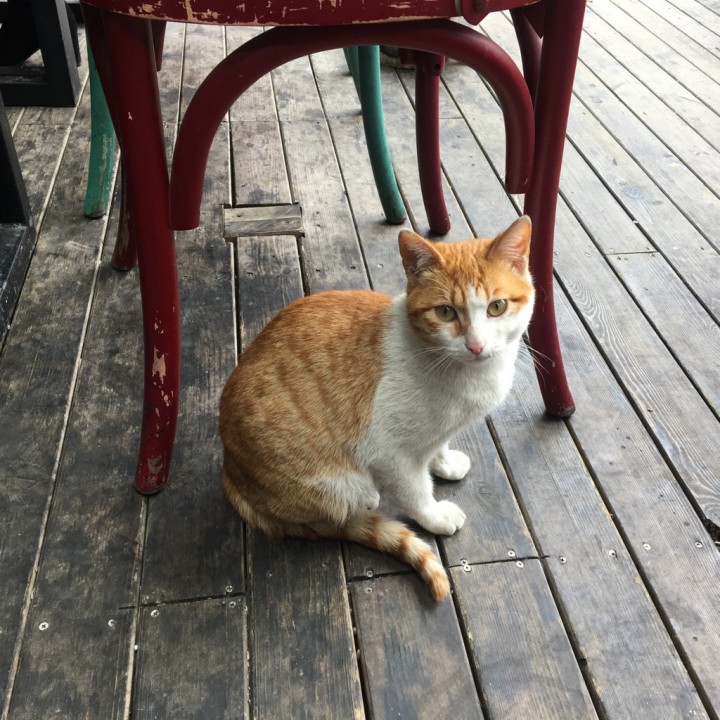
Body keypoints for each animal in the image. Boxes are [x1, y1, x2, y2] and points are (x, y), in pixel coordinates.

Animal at [220, 215, 534, 600]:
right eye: (445, 312)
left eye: (496, 307)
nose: (476, 346)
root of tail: (229, 473)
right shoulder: (390, 454)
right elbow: (416, 493)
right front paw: (435, 517)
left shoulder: (436, 432)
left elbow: (438, 445)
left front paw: (443, 462)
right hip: (336, 486)